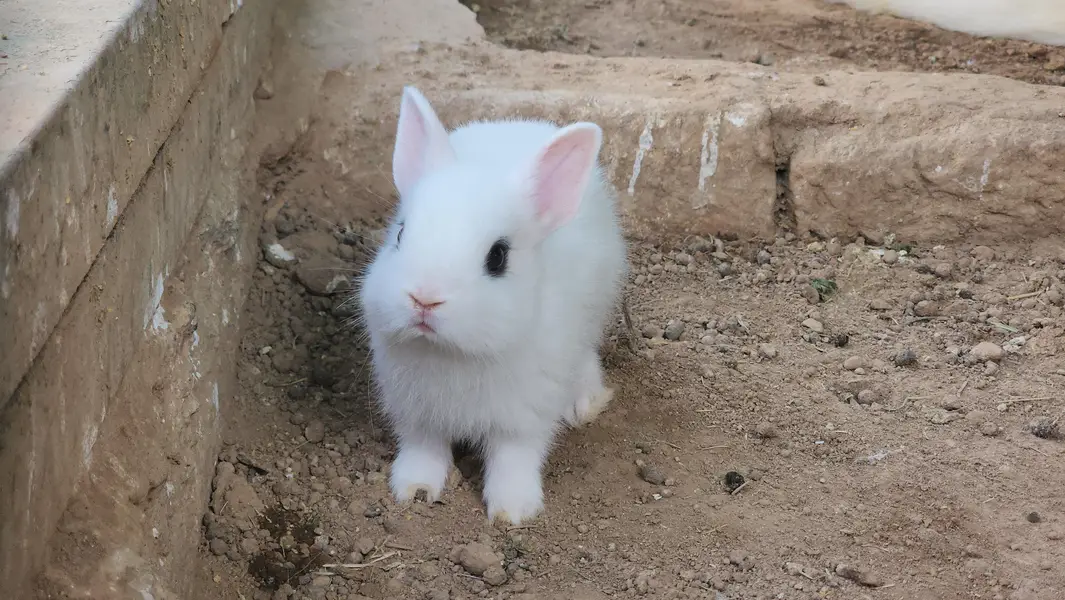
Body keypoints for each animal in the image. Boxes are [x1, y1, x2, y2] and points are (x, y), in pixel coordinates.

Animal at [357, 86, 628, 525]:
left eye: (498, 257)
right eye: (399, 234)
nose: (424, 298)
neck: (452, 353)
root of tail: (520, 123)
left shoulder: (523, 418)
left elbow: (513, 458)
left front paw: (512, 510)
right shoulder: (416, 414)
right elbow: (424, 448)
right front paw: (414, 489)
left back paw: (584, 402)